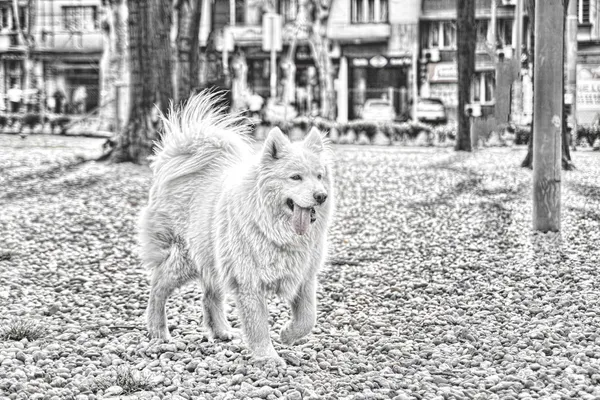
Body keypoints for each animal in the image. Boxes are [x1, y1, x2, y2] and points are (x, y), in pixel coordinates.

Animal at [140, 92, 336, 364]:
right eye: (295, 177)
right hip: (185, 258)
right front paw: (268, 358)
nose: (321, 196)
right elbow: (258, 324)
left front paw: (288, 334)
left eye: (319, 176)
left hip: (213, 257)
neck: (274, 228)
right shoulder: (248, 280)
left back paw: (221, 331)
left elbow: (308, 317)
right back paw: (158, 330)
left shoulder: (304, 276)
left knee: (209, 296)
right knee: (159, 284)